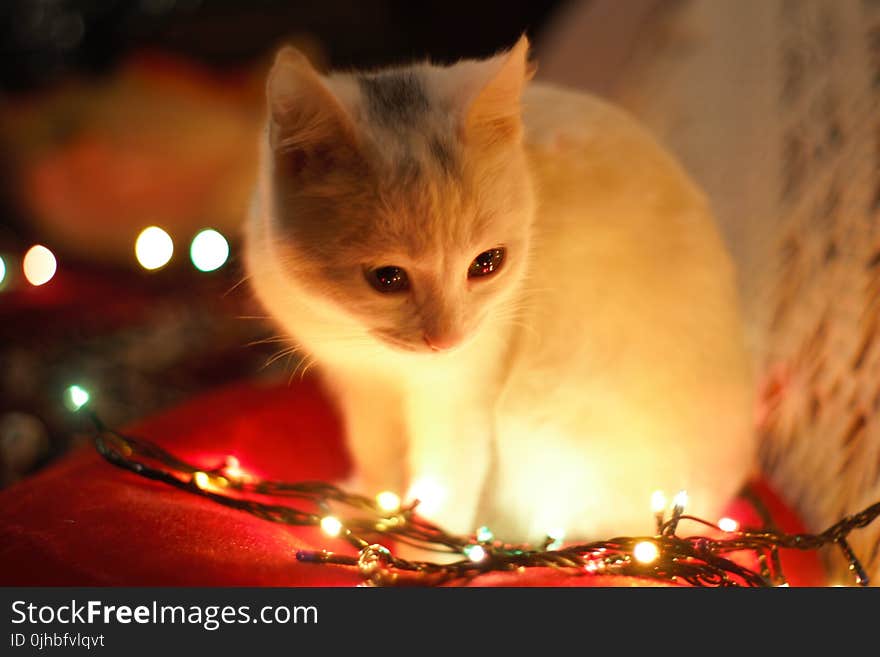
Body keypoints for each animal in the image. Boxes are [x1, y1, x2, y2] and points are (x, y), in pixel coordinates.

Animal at [244, 37, 752, 544]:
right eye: (386, 278)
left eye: (487, 263)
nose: (445, 339)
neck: (381, 359)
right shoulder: (359, 385)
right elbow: (374, 451)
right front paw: (368, 504)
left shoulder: (461, 390)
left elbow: (446, 482)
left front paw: (427, 543)